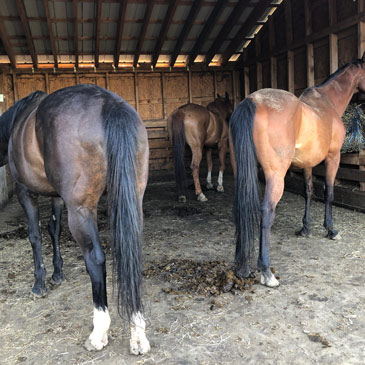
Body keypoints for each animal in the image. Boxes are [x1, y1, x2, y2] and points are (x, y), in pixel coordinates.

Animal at [0, 84, 149, 352]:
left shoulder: (24, 192)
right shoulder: (57, 198)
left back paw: (99, 332)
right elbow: (54, 230)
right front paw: (58, 274)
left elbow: (35, 236)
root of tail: (108, 103)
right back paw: (138, 334)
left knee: (96, 259)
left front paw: (39, 284)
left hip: (80, 211)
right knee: (132, 253)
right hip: (133, 201)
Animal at [229, 54, 364, 288]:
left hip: (241, 174)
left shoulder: (308, 164)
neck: (327, 102)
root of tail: (250, 102)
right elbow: (329, 193)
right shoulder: (333, 157)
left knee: (241, 208)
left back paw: (243, 267)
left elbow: (308, 192)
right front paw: (331, 230)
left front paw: (305, 228)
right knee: (267, 211)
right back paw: (266, 272)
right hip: (276, 176)